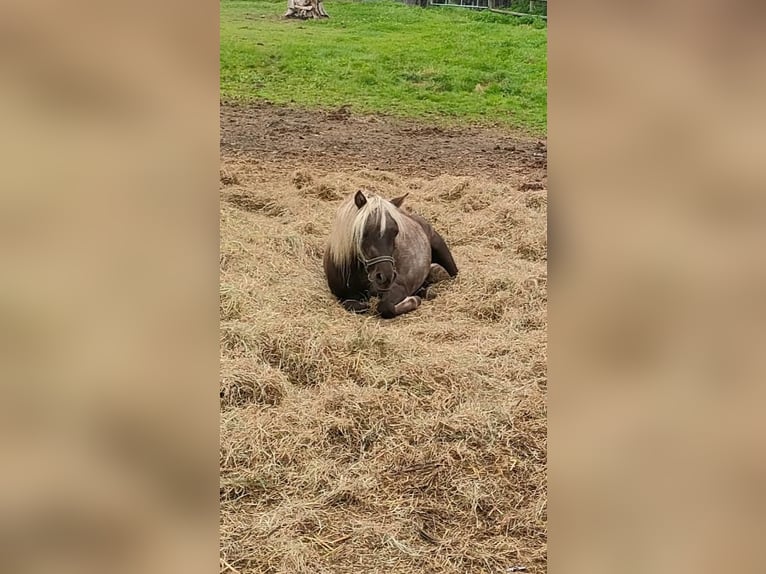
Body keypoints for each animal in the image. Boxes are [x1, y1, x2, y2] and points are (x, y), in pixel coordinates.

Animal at [322, 192, 460, 320]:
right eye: (364, 232)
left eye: (395, 232)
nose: (385, 276)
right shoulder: (342, 295)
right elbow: (355, 305)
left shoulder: (399, 287)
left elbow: (385, 306)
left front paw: (413, 300)